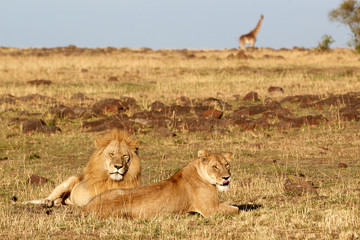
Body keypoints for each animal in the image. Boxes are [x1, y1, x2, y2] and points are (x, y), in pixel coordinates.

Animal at [82, 151, 239, 218]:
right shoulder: (211, 210)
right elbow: (237, 209)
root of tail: (85, 208)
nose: (227, 177)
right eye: (215, 167)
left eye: (227, 164)